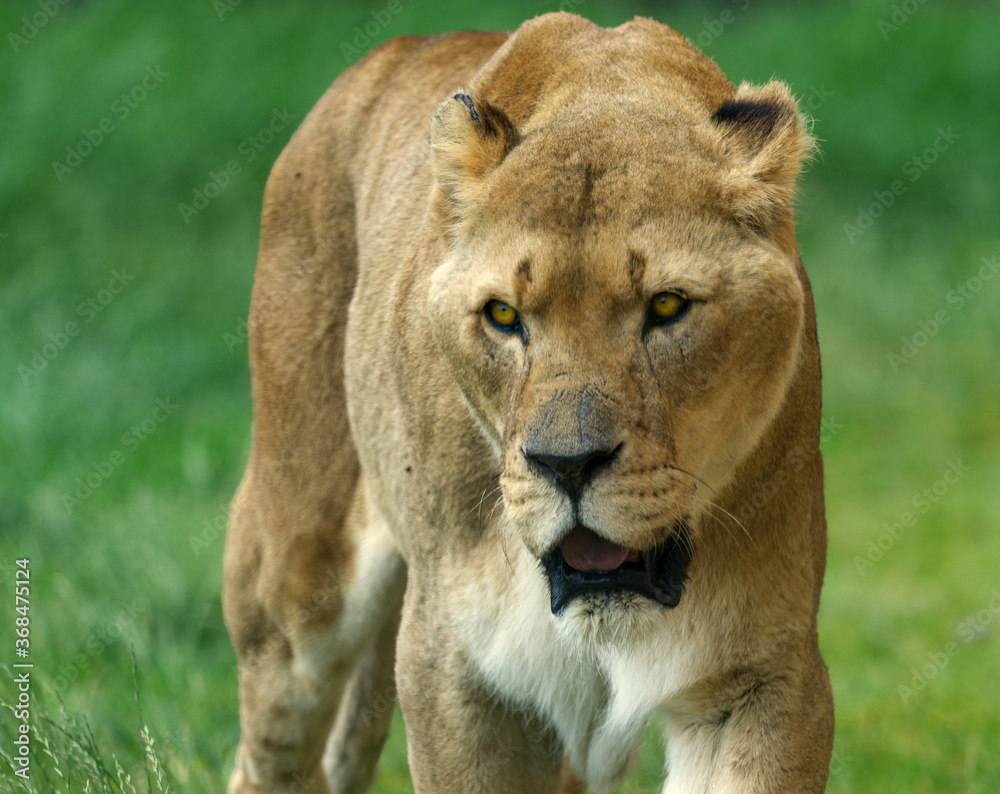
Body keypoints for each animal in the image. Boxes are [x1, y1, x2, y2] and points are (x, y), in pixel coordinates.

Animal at [222, 12, 833, 794]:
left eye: (667, 306)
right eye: (504, 316)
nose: (566, 466)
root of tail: (399, 47)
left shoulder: (762, 674)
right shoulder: (454, 668)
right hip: (293, 577)